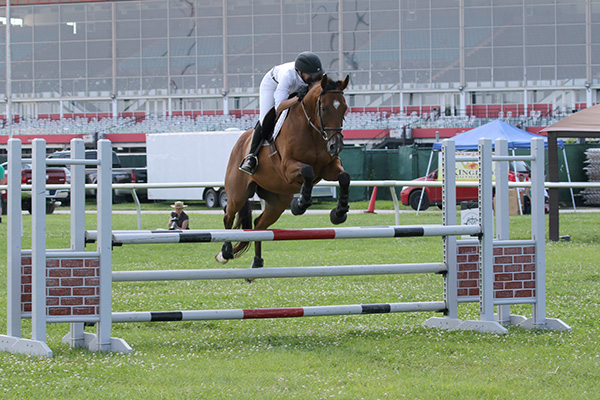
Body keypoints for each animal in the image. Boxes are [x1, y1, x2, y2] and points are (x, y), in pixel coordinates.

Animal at [217, 75, 352, 268]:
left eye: (344, 108)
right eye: (324, 108)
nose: (336, 146)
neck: (312, 130)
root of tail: (240, 142)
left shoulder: (329, 168)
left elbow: (344, 177)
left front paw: (339, 213)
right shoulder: (287, 168)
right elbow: (308, 171)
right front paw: (300, 205)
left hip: (277, 201)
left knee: (259, 225)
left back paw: (257, 262)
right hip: (238, 193)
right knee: (228, 215)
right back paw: (225, 252)